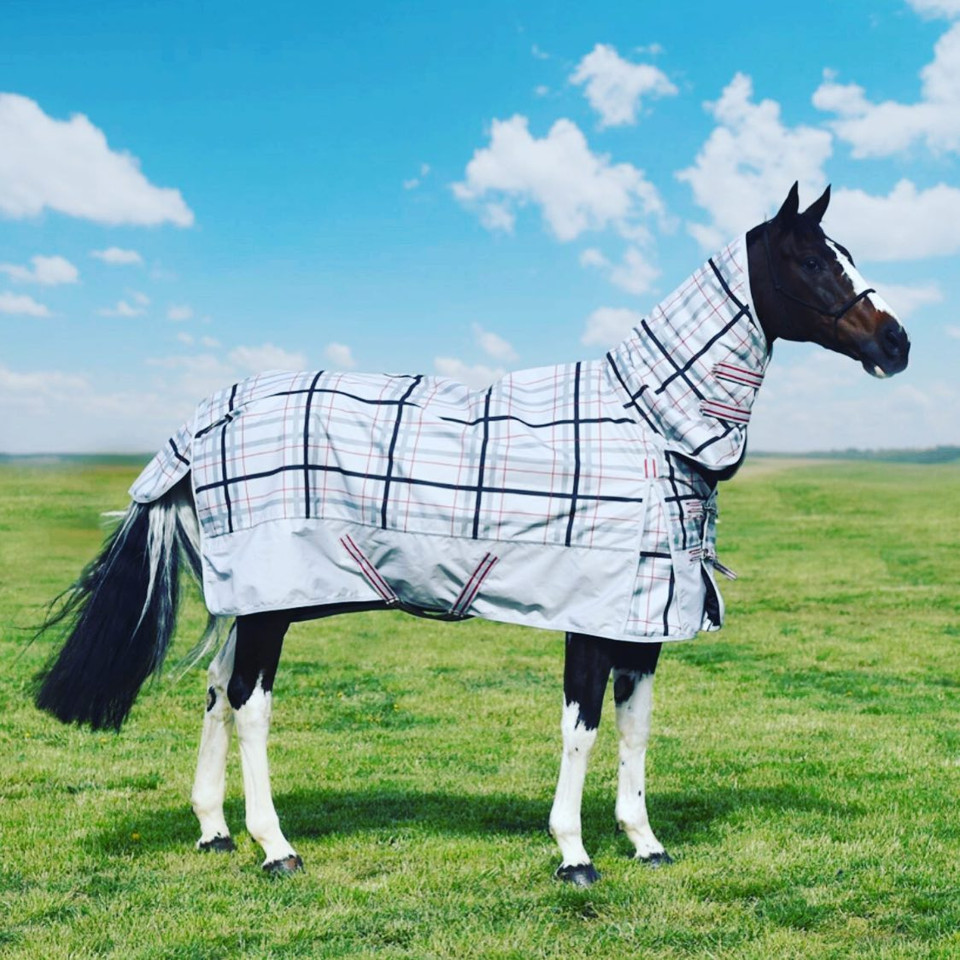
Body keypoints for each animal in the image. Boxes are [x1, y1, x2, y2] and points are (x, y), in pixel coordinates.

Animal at [33, 183, 909, 885]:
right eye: (813, 260)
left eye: (846, 254)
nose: (897, 344)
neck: (651, 422)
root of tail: (207, 417)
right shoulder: (590, 619)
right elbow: (582, 731)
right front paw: (574, 854)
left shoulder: (644, 624)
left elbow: (634, 730)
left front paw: (645, 842)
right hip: (272, 607)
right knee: (249, 704)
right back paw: (275, 847)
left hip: (252, 604)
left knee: (217, 693)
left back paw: (215, 832)